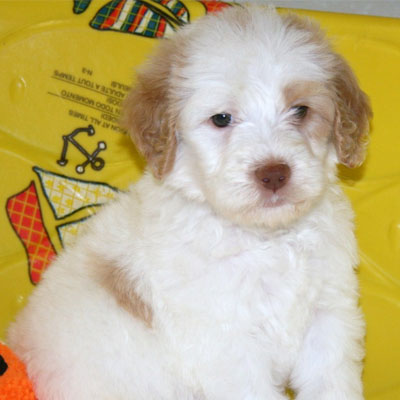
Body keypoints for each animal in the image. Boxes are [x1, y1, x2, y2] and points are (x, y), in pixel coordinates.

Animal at [7, 6, 372, 400]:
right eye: (222, 119)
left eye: (301, 110)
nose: (274, 174)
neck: (267, 238)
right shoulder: (228, 345)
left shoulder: (329, 316)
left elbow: (332, 382)